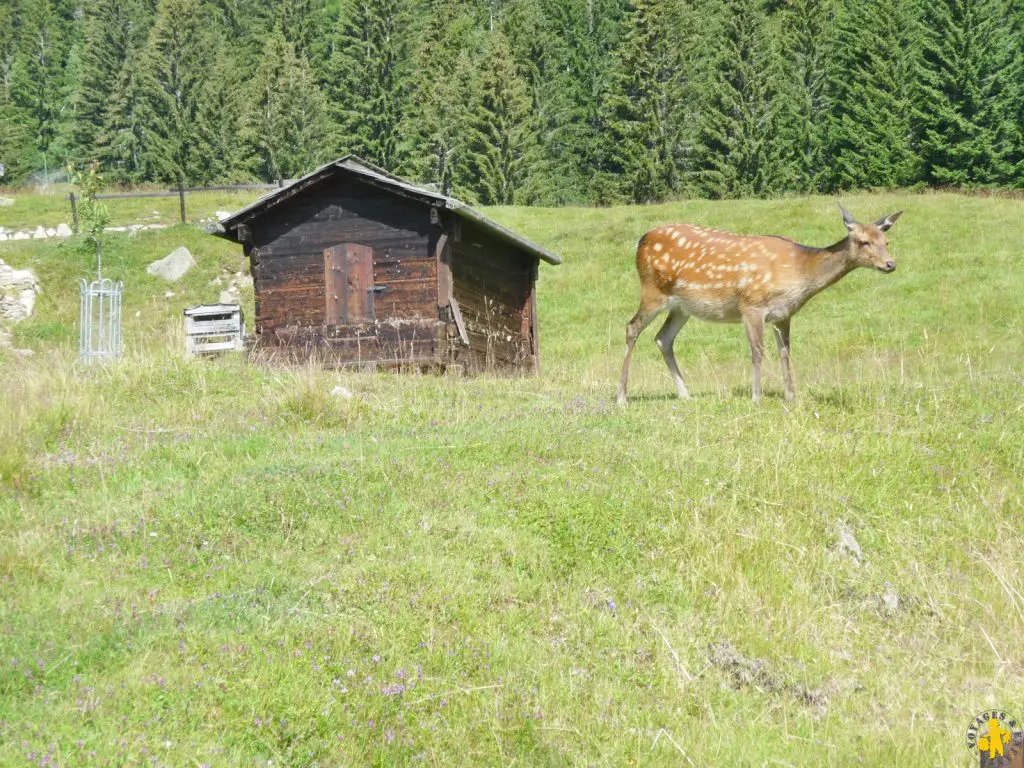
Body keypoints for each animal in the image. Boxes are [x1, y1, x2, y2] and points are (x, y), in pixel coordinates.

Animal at [610, 204, 901, 409]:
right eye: (864, 242)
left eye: (886, 242)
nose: (891, 264)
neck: (800, 272)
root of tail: (640, 240)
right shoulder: (751, 306)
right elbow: (758, 352)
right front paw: (756, 397)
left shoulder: (784, 314)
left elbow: (785, 353)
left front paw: (791, 396)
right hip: (652, 291)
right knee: (631, 327)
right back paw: (622, 396)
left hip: (682, 307)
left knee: (663, 338)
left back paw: (685, 393)